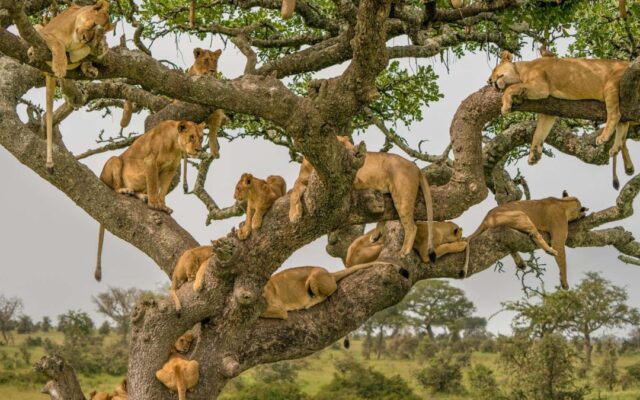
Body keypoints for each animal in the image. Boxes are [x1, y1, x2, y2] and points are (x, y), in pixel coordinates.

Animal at [30, 1, 112, 173]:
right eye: (93, 24)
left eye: (95, 35)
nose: (85, 38)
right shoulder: (47, 33)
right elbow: (57, 43)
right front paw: (60, 66)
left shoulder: (78, 53)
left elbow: (84, 53)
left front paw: (101, 47)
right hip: (37, 27)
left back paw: (89, 69)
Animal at [94, 120, 204, 281]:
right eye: (191, 137)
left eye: (201, 138)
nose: (198, 150)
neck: (175, 145)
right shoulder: (150, 162)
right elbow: (153, 185)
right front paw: (154, 204)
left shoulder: (170, 169)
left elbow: (162, 190)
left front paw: (163, 206)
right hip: (114, 161)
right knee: (114, 185)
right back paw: (125, 190)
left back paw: (141, 196)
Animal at [289, 136, 435, 260]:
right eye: (342, 145)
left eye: (350, 143)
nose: (357, 154)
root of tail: (415, 166)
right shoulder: (302, 179)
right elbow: (294, 192)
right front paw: (294, 215)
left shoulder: (352, 180)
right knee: (387, 214)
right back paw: (376, 236)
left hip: (402, 196)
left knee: (411, 226)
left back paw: (404, 251)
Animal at [489, 50, 634, 183]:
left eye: (494, 69)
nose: (489, 81)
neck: (520, 70)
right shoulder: (548, 111)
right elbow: (539, 132)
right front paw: (534, 154)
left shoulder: (541, 87)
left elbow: (510, 88)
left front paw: (505, 107)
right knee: (623, 122)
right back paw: (615, 149)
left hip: (611, 85)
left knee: (615, 114)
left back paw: (603, 137)